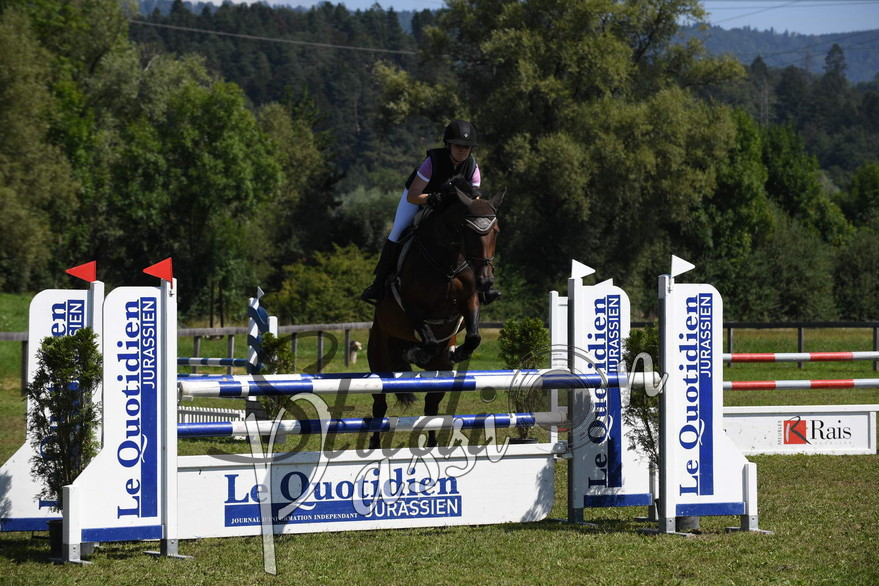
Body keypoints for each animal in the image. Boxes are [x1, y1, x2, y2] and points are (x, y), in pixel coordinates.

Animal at [367, 178, 505, 449]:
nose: (486, 281)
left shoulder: (469, 300)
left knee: (432, 406)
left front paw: (459, 351)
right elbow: (428, 339)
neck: (447, 262)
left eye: (495, 231)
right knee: (380, 406)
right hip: (380, 361)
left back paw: (432, 445)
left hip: (440, 374)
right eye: (468, 231)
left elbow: (474, 336)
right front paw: (416, 352)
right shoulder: (411, 304)